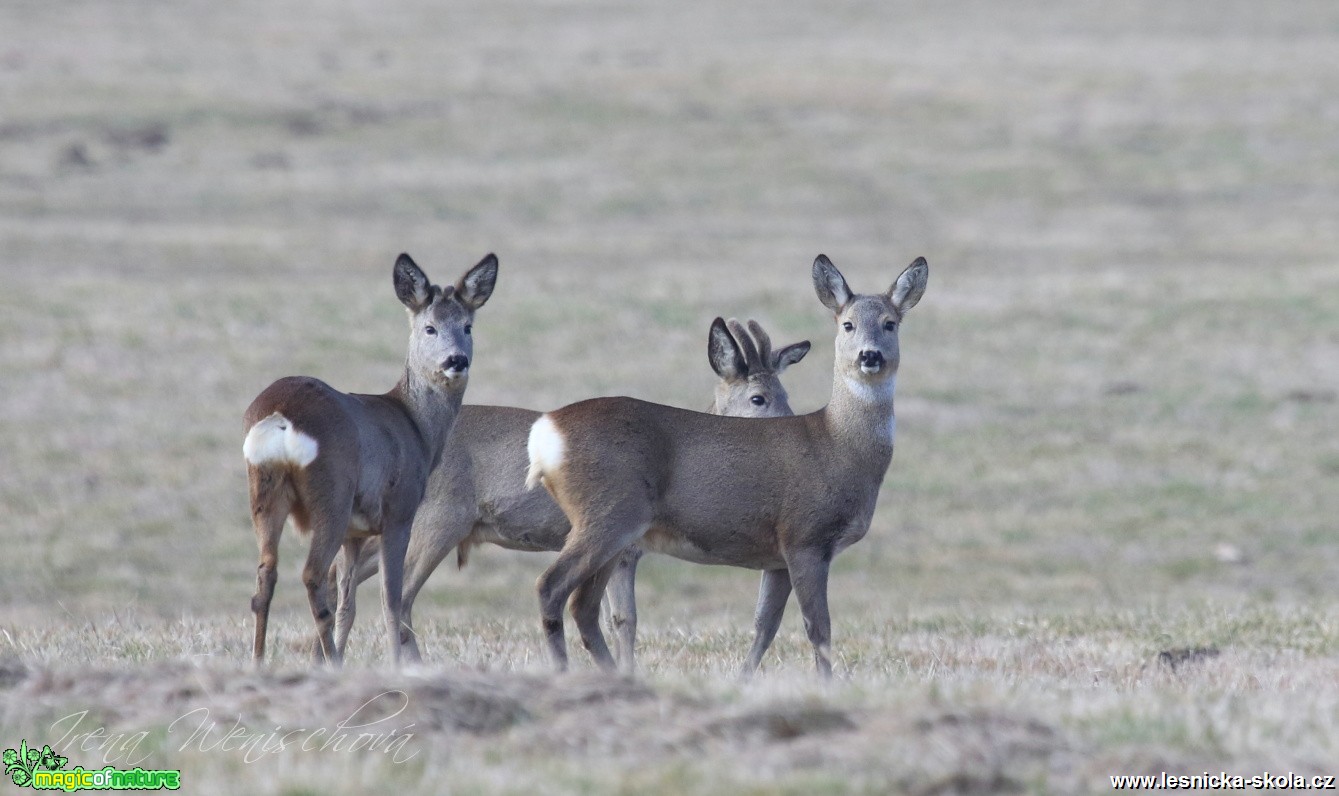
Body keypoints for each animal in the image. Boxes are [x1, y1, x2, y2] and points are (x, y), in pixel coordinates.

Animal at [241, 251, 498, 661]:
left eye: (467, 326)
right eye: (429, 328)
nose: (456, 360)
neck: (416, 426)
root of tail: (280, 415)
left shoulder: (356, 532)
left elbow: (349, 603)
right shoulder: (399, 511)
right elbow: (391, 600)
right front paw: (393, 662)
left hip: (264, 490)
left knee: (266, 575)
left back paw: (260, 661)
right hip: (331, 494)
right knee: (312, 575)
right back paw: (325, 661)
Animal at [329, 317, 808, 670]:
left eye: (786, 392)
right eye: (759, 397)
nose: (788, 429)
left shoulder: (626, 550)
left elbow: (622, 619)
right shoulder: (625, 547)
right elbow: (625, 619)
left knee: (346, 573)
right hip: (439, 519)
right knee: (397, 591)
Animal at [527, 250, 926, 672]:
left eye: (890, 323)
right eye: (848, 324)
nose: (870, 355)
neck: (838, 445)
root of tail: (545, 431)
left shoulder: (776, 555)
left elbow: (765, 624)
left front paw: (744, 678)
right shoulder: (805, 535)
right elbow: (819, 628)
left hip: (613, 530)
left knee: (583, 604)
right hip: (607, 513)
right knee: (551, 586)